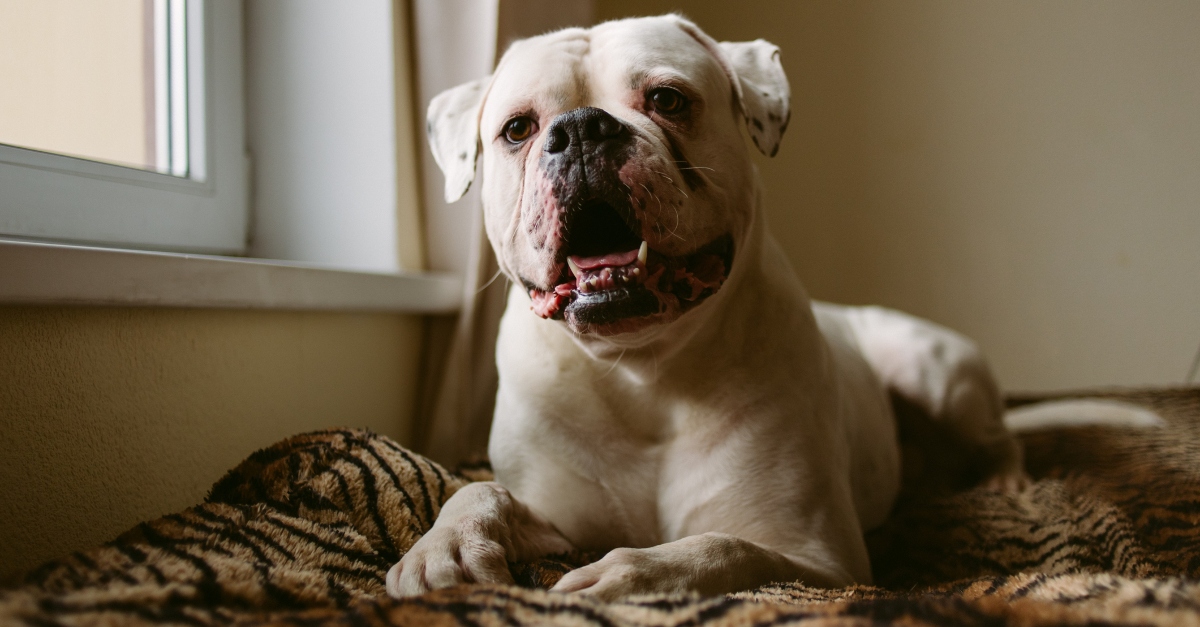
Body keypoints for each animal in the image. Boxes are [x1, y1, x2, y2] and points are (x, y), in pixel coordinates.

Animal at [386, 14, 1022, 598]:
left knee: (999, 437)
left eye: (668, 99)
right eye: (518, 128)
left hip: (934, 371)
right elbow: (478, 490)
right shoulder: (557, 524)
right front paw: (445, 548)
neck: (642, 368)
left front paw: (623, 577)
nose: (582, 128)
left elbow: (719, 549)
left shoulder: (818, 558)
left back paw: (1003, 484)